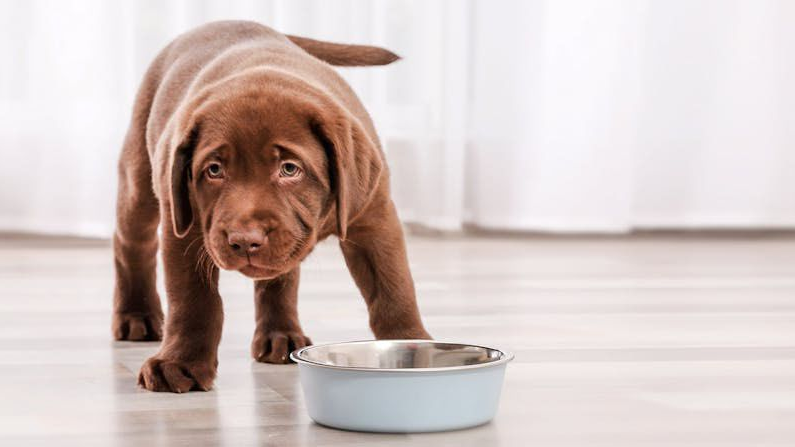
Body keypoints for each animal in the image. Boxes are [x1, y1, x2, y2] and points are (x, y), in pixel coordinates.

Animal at [112, 21, 430, 392]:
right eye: (214, 170)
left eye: (289, 169)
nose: (244, 240)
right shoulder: (184, 226)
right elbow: (192, 299)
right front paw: (180, 364)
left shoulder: (373, 217)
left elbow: (393, 287)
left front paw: (411, 347)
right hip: (140, 178)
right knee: (131, 243)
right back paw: (136, 315)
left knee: (281, 277)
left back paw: (281, 335)